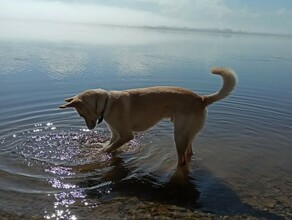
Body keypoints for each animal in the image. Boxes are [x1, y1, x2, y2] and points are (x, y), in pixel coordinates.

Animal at [60, 67, 236, 167]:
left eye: (81, 113)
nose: (90, 128)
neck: (107, 102)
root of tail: (202, 99)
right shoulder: (115, 134)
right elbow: (109, 145)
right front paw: (99, 147)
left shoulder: (126, 135)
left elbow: (109, 148)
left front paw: (97, 154)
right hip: (186, 133)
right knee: (189, 152)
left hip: (179, 135)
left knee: (182, 159)